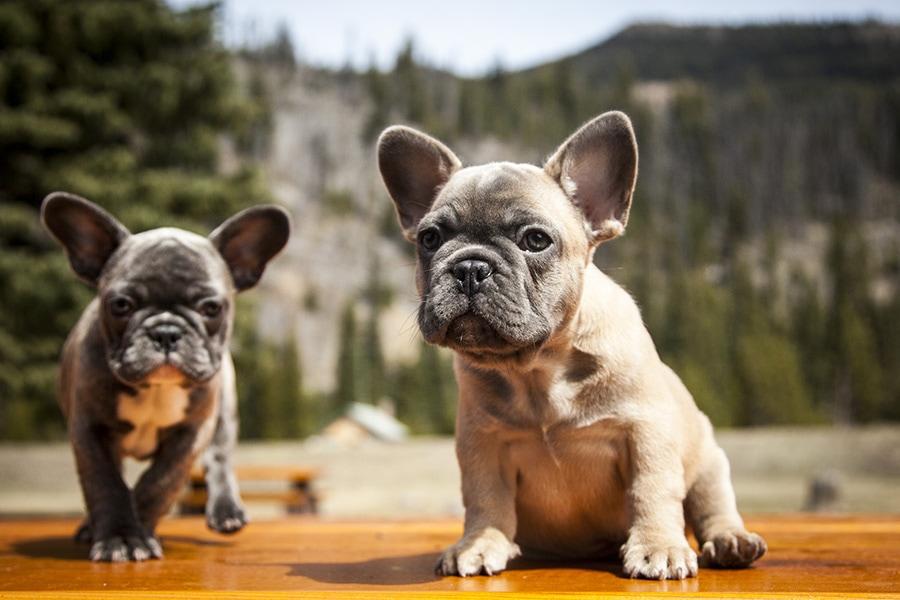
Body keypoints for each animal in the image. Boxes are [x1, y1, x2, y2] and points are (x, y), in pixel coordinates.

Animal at [42, 193, 290, 564]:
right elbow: (105, 482)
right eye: (121, 305)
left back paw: (226, 511)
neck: (156, 389)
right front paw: (120, 536)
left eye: (211, 308)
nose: (166, 332)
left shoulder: (190, 434)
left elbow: (159, 482)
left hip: (224, 413)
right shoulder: (89, 430)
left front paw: (139, 529)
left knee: (220, 459)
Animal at [378, 111, 768, 576]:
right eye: (430, 239)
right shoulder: (482, 444)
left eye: (535, 240)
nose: (470, 267)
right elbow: (485, 499)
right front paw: (478, 544)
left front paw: (659, 547)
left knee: (712, 506)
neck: (538, 369)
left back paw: (730, 542)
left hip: (709, 460)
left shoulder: (647, 433)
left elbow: (652, 491)